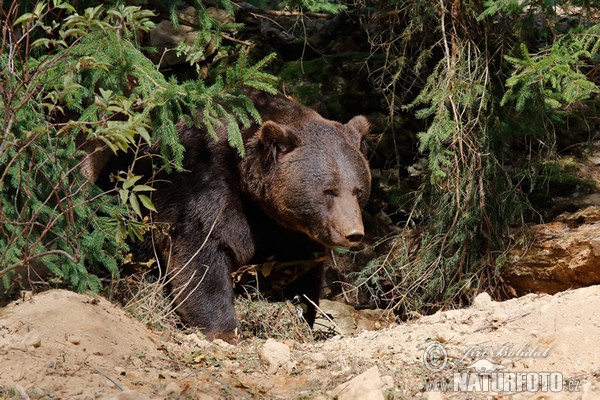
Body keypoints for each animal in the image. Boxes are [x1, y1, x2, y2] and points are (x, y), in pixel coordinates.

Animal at [123, 90, 368, 340]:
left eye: (358, 190)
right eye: (329, 191)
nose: (353, 233)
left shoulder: (292, 231)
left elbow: (303, 274)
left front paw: (300, 317)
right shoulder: (201, 185)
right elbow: (200, 255)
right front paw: (224, 329)